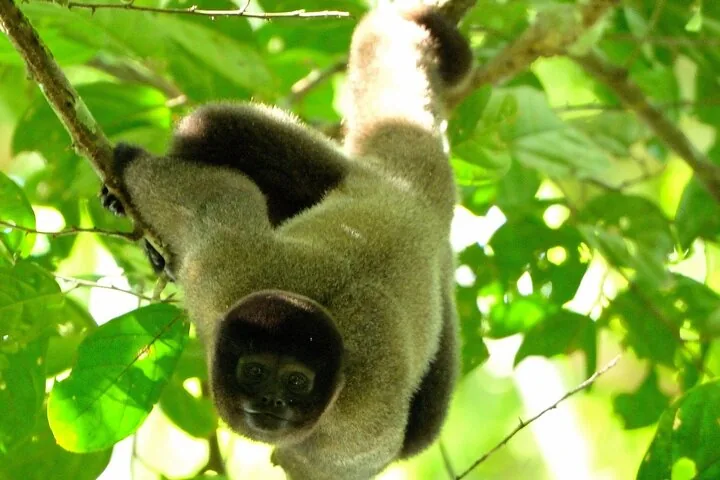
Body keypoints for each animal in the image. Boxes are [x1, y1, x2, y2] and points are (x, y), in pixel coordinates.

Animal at [100, 5, 472, 479]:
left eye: (297, 382)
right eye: (254, 371)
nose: (271, 401)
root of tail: (409, 194)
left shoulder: (359, 432)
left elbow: (346, 460)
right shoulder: (222, 268)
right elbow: (213, 199)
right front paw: (128, 163)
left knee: (421, 429)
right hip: (345, 174)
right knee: (211, 125)